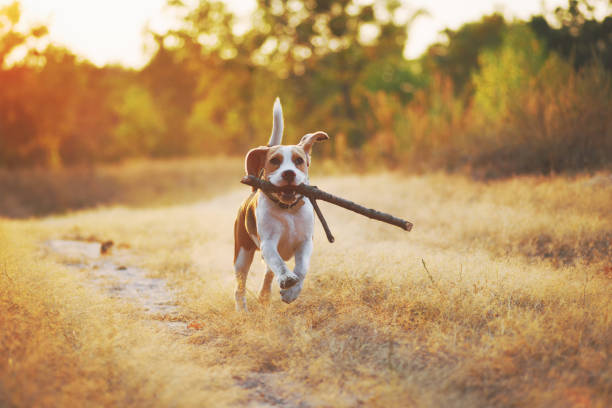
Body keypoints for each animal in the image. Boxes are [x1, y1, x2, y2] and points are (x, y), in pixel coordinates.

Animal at [234, 99, 330, 312]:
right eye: (275, 161)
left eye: (299, 160)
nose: (288, 173)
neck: (288, 210)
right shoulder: (268, 242)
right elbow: (278, 263)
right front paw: (286, 279)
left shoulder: (305, 242)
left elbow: (301, 269)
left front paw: (291, 292)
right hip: (242, 254)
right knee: (240, 285)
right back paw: (242, 310)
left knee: (268, 273)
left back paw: (264, 295)